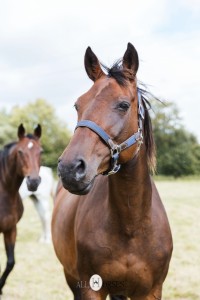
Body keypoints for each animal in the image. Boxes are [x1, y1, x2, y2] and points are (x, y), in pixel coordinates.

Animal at [52, 42, 173, 300]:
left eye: (123, 105)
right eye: (78, 105)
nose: (69, 168)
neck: (131, 226)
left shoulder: (151, 291)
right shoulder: (90, 287)